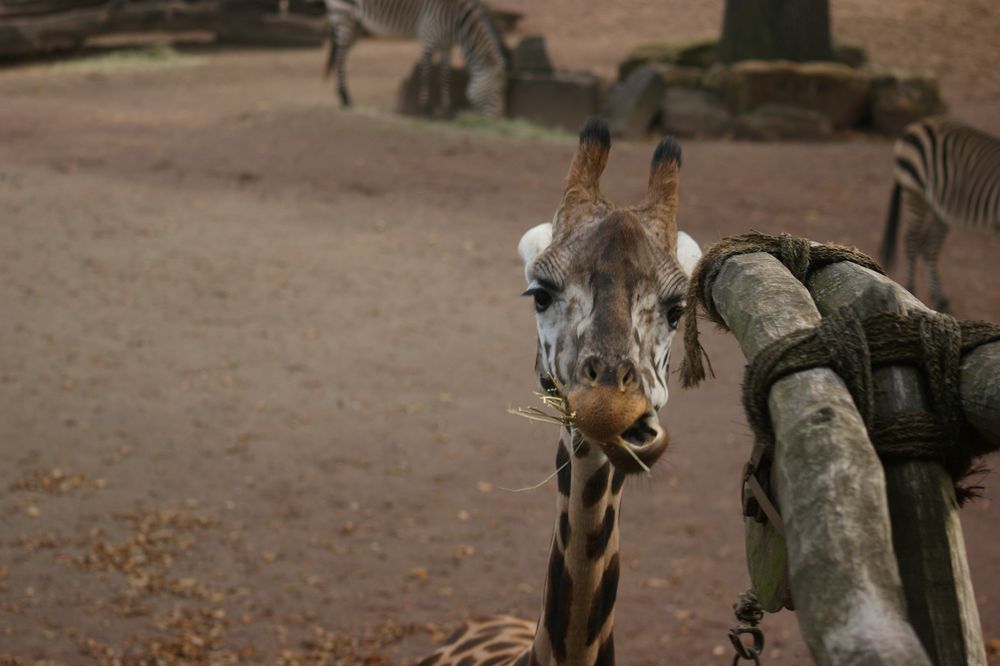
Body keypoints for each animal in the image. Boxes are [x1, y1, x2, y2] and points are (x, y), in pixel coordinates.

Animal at [322, 0, 508, 115]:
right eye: (497, 91)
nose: (493, 121)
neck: (456, 20)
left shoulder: (446, 46)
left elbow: (445, 76)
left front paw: (447, 111)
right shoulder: (428, 38)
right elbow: (427, 74)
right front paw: (426, 110)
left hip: (356, 24)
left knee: (342, 55)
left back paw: (343, 96)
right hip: (343, 14)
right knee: (339, 58)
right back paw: (345, 98)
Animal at [880, 115, 996, 310]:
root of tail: (915, 125)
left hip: (938, 208)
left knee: (928, 245)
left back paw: (939, 297)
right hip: (916, 193)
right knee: (912, 240)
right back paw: (911, 288)